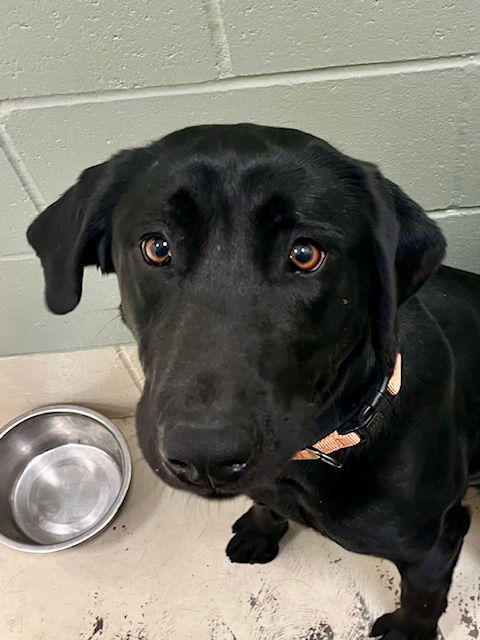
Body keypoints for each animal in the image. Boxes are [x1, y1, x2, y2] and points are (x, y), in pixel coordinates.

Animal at [28, 122, 478, 636]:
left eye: (305, 254)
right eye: (156, 247)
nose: (204, 458)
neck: (319, 451)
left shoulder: (436, 543)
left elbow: (423, 598)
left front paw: (407, 631)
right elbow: (265, 503)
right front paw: (261, 528)